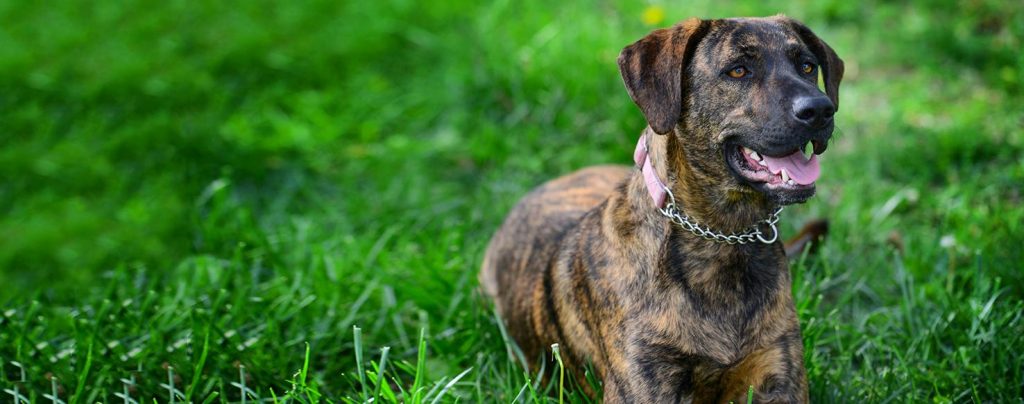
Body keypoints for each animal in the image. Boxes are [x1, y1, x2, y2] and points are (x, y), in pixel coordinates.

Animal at [483, 15, 843, 404]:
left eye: (807, 66)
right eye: (738, 71)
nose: (821, 109)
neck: (724, 240)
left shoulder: (778, 372)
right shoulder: (646, 380)